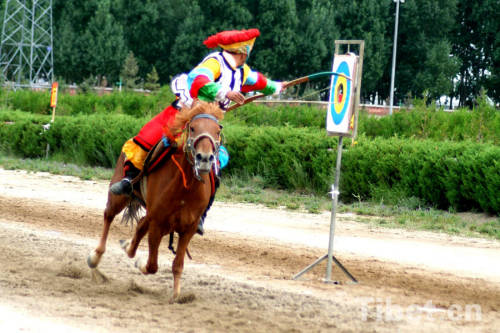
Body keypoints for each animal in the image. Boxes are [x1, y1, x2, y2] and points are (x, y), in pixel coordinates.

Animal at [87, 101, 224, 300]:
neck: (185, 188)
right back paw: (96, 257)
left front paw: (176, 295)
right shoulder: (158, 223)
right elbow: (152, 265)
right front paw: (140, 263)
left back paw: (127, 246)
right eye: (192, 128)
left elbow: (178, 264)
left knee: (140, 225)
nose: (205, 158)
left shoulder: (188, 228)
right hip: (119, 196)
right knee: (109, 215)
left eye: (217, 131)